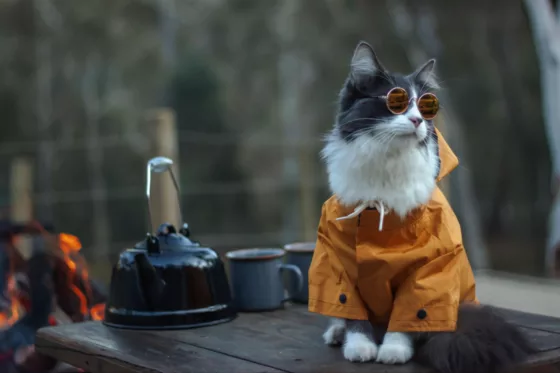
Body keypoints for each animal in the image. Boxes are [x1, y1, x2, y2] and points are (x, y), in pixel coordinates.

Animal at [316, 40, 532, 372]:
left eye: (424, 107)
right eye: (396, 102)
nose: (417, 120)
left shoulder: (426, 268)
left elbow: (408, 317)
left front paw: (393, 350)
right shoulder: (342, 265)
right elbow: (354, 315)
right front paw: (361, 346)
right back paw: (337, 332)